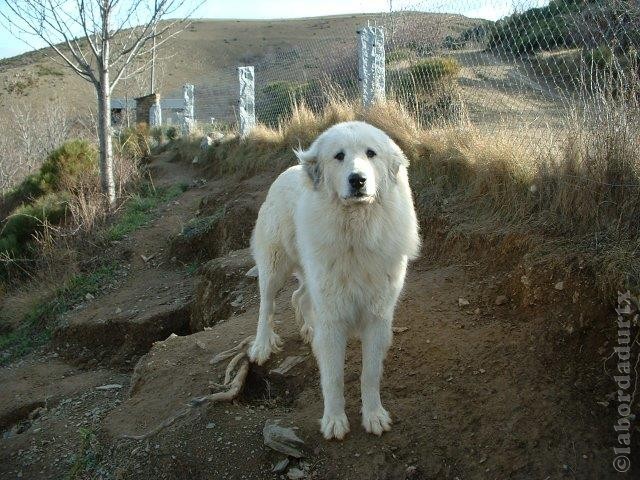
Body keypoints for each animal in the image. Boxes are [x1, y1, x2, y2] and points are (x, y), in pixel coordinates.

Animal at [246, 120, 420, 438]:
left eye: (371, 153)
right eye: (339, 156)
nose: (358, 180)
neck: (356, 232)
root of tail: (288, 170)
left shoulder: (377, 317)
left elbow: (370, 374)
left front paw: (374, 415)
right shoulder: (333, 316)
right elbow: (332, 377)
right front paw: (335, 420)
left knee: (298, 296)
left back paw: (308, 329)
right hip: (274, 268)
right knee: (267, 306)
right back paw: (262, 345)